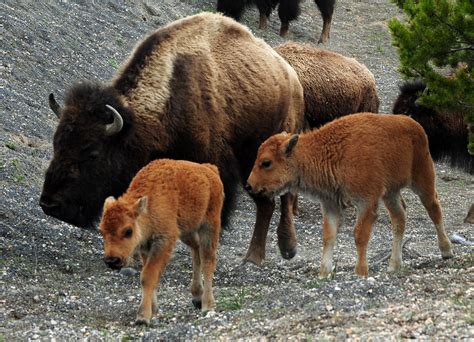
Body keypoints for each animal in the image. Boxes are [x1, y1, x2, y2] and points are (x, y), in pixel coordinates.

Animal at [98, 159, 224, 324]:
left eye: (128, 231)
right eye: (101, 231)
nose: (112, 261)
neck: (149, 207)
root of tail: (210, 169)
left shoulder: (163, 242)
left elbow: (148, 276)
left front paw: (143, 317)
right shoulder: (146, 247)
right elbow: (150, 276)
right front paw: (154, 311)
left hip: (209, 226)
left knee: (208, 260)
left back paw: (208, 305)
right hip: (187, 231)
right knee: (196, 251)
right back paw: (197, 296)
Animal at [246, 113, 454, 276]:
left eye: (266, 162)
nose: (249, 186)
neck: (327, 151)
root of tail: (414, 125)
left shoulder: (366, 202)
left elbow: (359, 235)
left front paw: (360, 271)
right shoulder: (330, 204)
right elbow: (328, 236)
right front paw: (324, 272)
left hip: (422, 181)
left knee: (434, 209)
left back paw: (446, 251)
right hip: (390, 193)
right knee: (399, 218)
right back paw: (394, 265)